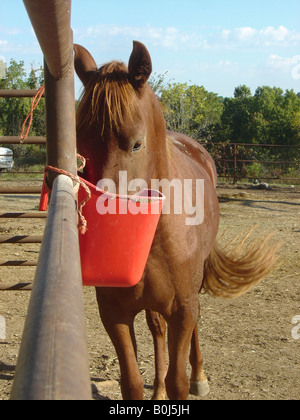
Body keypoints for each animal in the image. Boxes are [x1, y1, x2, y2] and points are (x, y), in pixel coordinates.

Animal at [74, 40, 278, 400]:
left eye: (137, 143)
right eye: (81, 147)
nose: (104, 227)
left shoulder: (183, 309)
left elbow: (178, 382)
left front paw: (190, 379)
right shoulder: (114, 313)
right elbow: (132, 382)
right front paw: (152, 388)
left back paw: (200, 375)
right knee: (157, 330)